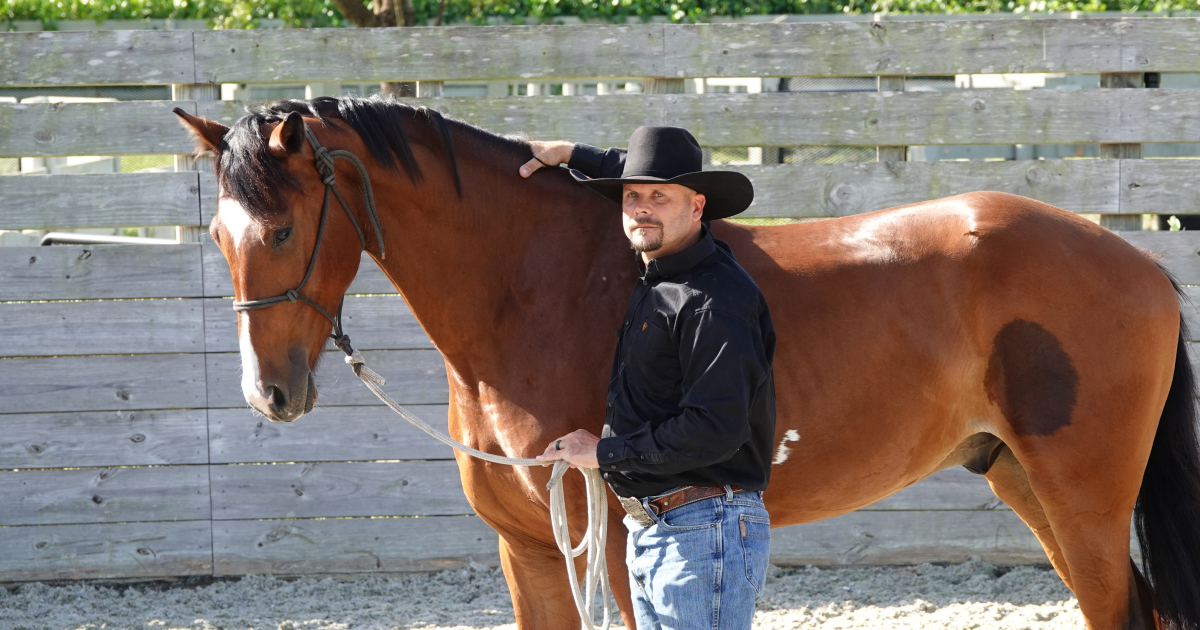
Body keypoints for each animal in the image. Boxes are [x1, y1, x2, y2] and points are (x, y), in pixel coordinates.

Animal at [174, 95, 1200, 630]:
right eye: (218, 235)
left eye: (281, 229)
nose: (270, 394)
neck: (535, 289)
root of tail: (1142, 265)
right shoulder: (531, 551)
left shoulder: (609, 548)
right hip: (1025, 483)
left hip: (1084, 503)